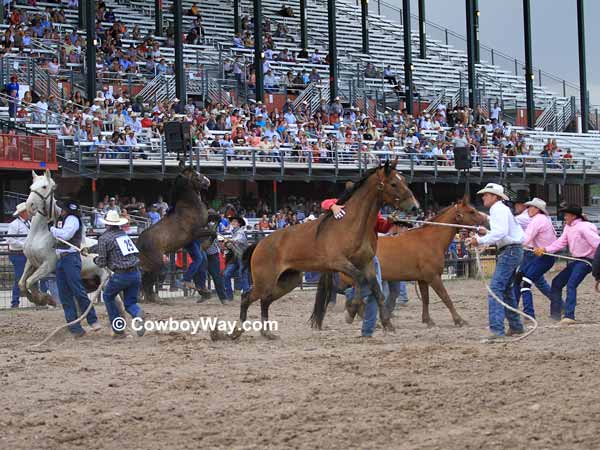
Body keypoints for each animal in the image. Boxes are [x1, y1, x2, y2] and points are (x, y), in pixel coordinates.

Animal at [19, 171, 111, 308]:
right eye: (31, 187)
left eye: (44, 187)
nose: (30, 206)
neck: (39, 234)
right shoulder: (31, 262)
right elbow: (22, 283)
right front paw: (34, 298)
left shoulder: (48, 265)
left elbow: (29, 282)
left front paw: (45, 299)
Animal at [137, 160, 212, 300]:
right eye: (196, 174)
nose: (208, 181)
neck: (189, 206)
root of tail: (138, 242)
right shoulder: (197, 231)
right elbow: (213, 232)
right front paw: (207, 244)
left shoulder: (205, 221)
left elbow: (217, 217)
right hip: (158, 263)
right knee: (148, 280)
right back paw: (154, 298)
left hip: (149, 264)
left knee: (145, 280)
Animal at [218, 160, 420, 340]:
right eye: (393, 183)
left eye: (403, 179)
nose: (414, 206)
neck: (351, 224)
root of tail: (259, 244)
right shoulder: (339, 263)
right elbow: (359, 279)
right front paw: (352, 310)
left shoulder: (367, 263)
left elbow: (376, 290)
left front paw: (388, 324)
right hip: (264, 281)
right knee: (247, 297)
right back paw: (236, 331)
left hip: (288, 281)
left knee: (265, 300)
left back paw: (267, 332)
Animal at [312, 195, 490, 328]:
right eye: (472, 211)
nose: (487, 221)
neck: (430, 240)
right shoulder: (433, 277)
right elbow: (446, 297)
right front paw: (459, 320)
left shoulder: (423, 279)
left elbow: (426, 299)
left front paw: (428, 320)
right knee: (352, 294)